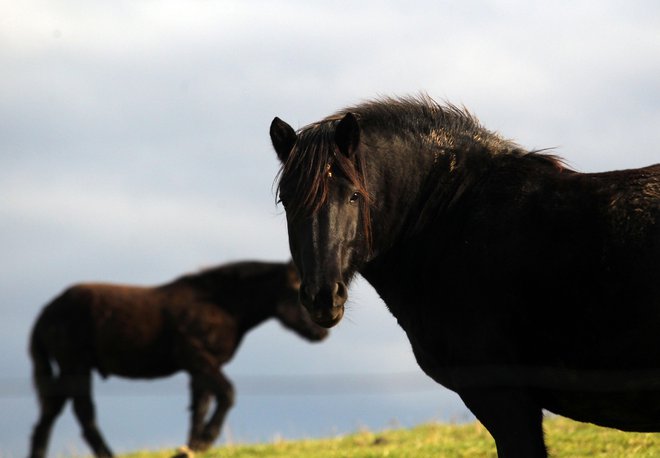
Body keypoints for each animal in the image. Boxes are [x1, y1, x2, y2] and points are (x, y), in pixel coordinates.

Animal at [28, 262, 328, 458]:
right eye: (296, 289)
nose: (321, 331)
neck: (220, 304)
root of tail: (45, 312)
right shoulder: (197, 358)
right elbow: (227, 394)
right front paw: (204, 442)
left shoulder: (199, 369)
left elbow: (200, 406)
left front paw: (190, 448)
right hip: (76, 366)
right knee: (84, 414)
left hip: (69, 370)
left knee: (49, 414)